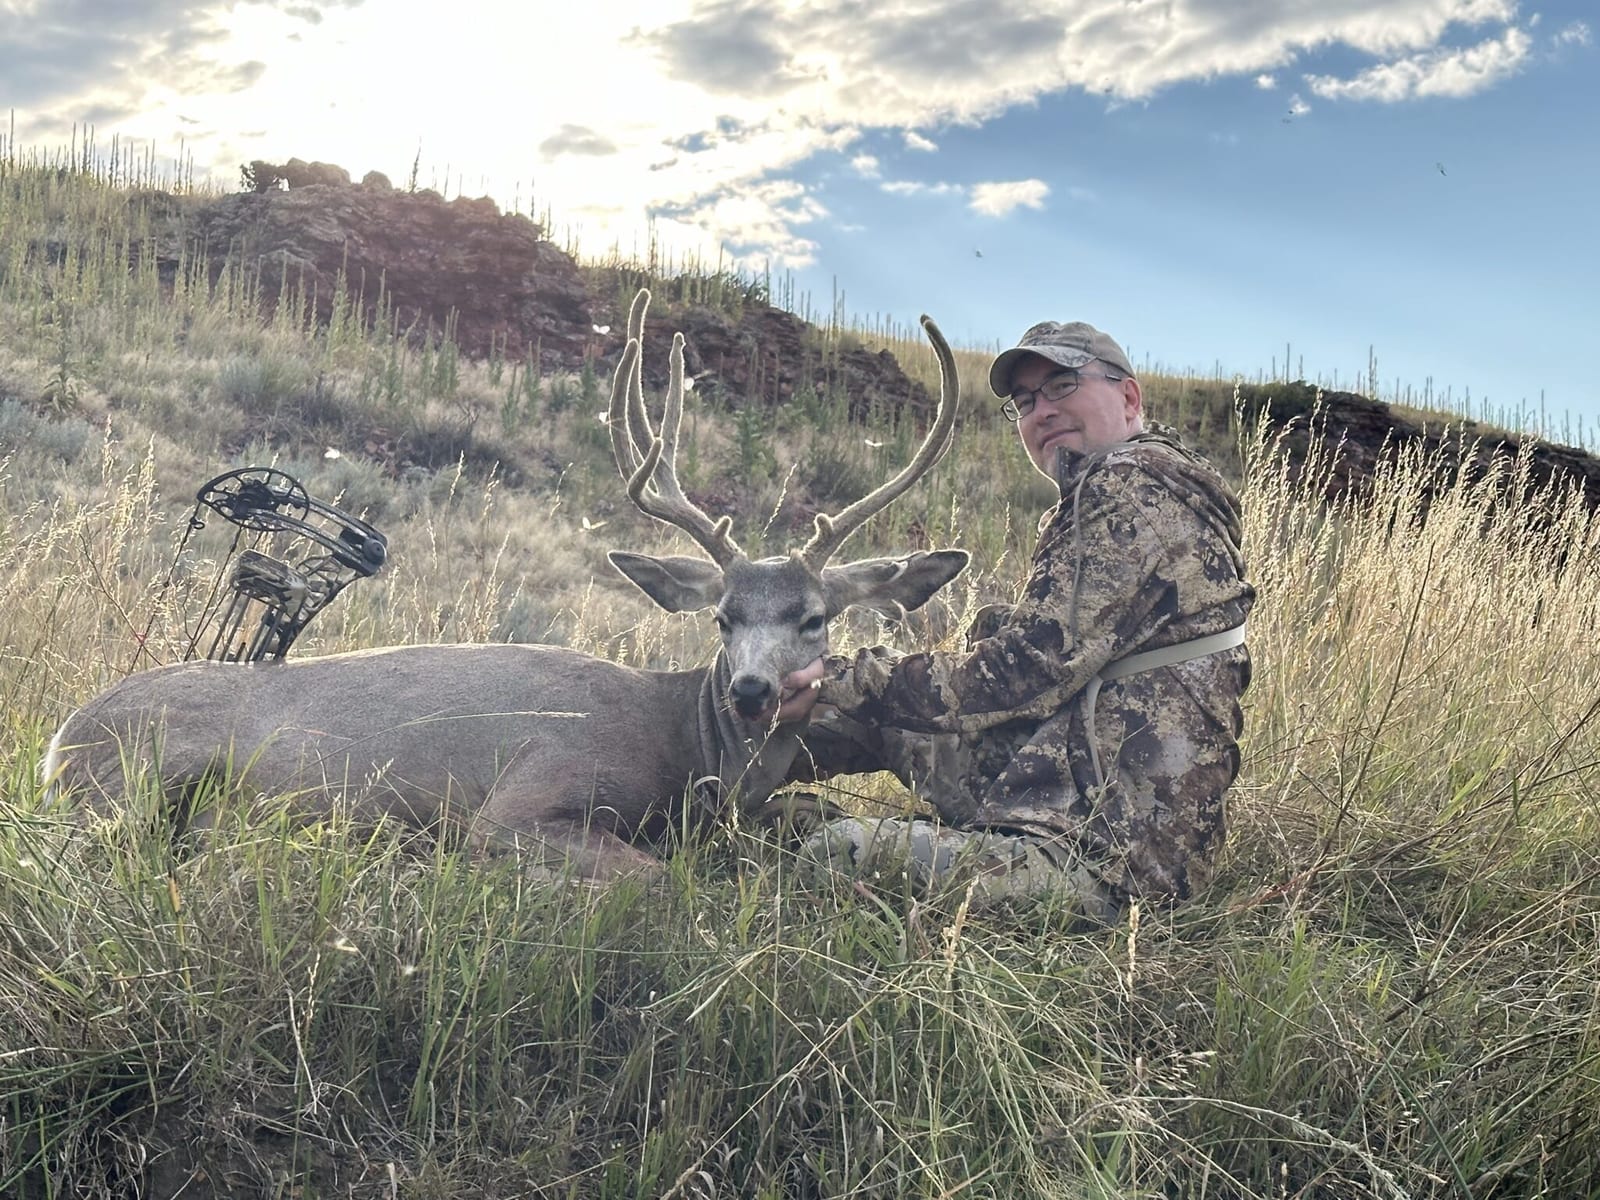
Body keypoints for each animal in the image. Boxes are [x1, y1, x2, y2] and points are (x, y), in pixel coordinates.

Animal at [42, 289, 967, 880]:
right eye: (723, 619)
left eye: (813, 618)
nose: (750, 689)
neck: (679, 745)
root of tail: (60, 738)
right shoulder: (527, 794)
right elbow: (656, 879)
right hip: (124, 787)